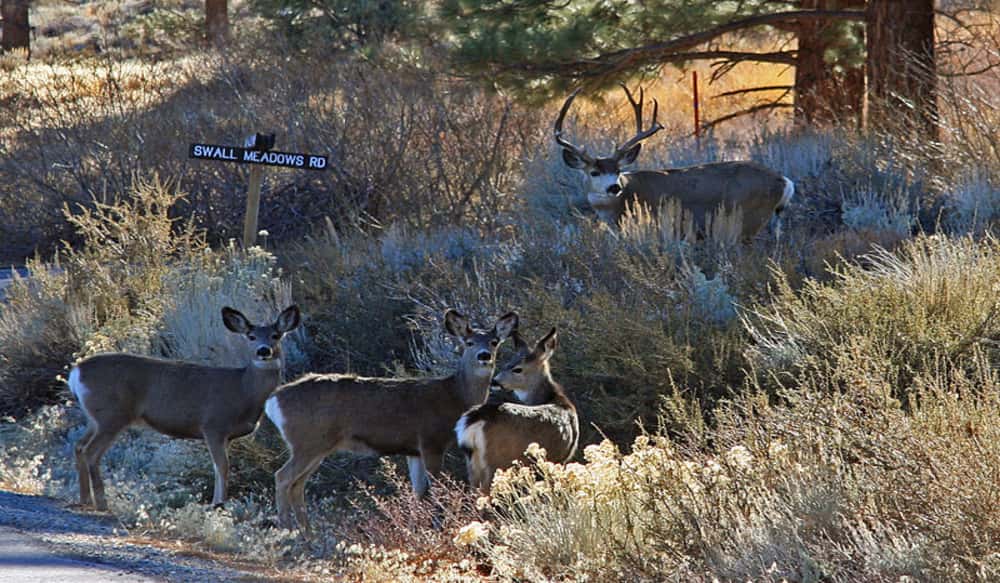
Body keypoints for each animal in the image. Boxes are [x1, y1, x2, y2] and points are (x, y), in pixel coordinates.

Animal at [67, 305, 301, 512]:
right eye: (251, 336)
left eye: (276, 335)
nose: (263, 350)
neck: (243, 390)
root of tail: (76, 372)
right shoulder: (213, 425)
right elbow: (222, 467)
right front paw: (218, 505)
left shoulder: (226, 435)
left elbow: (221, 467)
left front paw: (217, 504)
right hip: (112, 415)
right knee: (91, 452)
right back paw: (102, 504)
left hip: (95, 418)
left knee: (79, 446)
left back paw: (84, 499)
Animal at [265, 309, 519, 534]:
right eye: (469, 342)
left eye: (494, 341)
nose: (484, 355)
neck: (454, 396)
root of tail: (273, 400)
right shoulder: (431, 441)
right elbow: (436, 488)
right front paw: (438, 526)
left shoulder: (413, 451)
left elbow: (418, 491)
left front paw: (418, 528)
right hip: (308, 442)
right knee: (283, 477)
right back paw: (288, 532)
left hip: (316, 446)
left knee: (297, 484)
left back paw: (308, 534)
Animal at [455, 327, 578, 492]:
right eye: (507, 364)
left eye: (517, 369)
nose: (494, 381)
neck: (555, 399)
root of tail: (475, 418)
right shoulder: (561, 458)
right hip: (497, 461)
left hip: (473, 463)